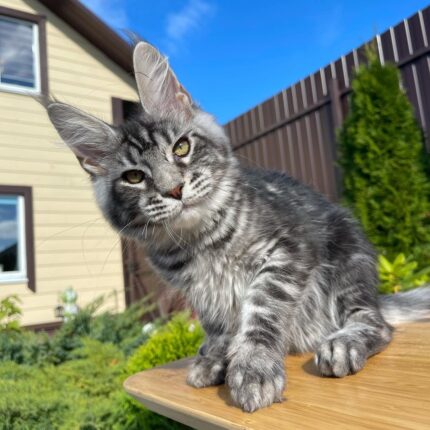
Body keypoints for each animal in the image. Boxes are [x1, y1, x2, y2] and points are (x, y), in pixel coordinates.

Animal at [46, 42, 430, 414]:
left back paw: (344, 342)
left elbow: (260, 309)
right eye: (134, 177)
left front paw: (254, 365)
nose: (174, 189)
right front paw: (216, 358)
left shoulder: (288, 250)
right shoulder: (200, 292)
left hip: (348, 255)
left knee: (376, 323)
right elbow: (218, 326)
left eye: (181, 147)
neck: (200, 241)